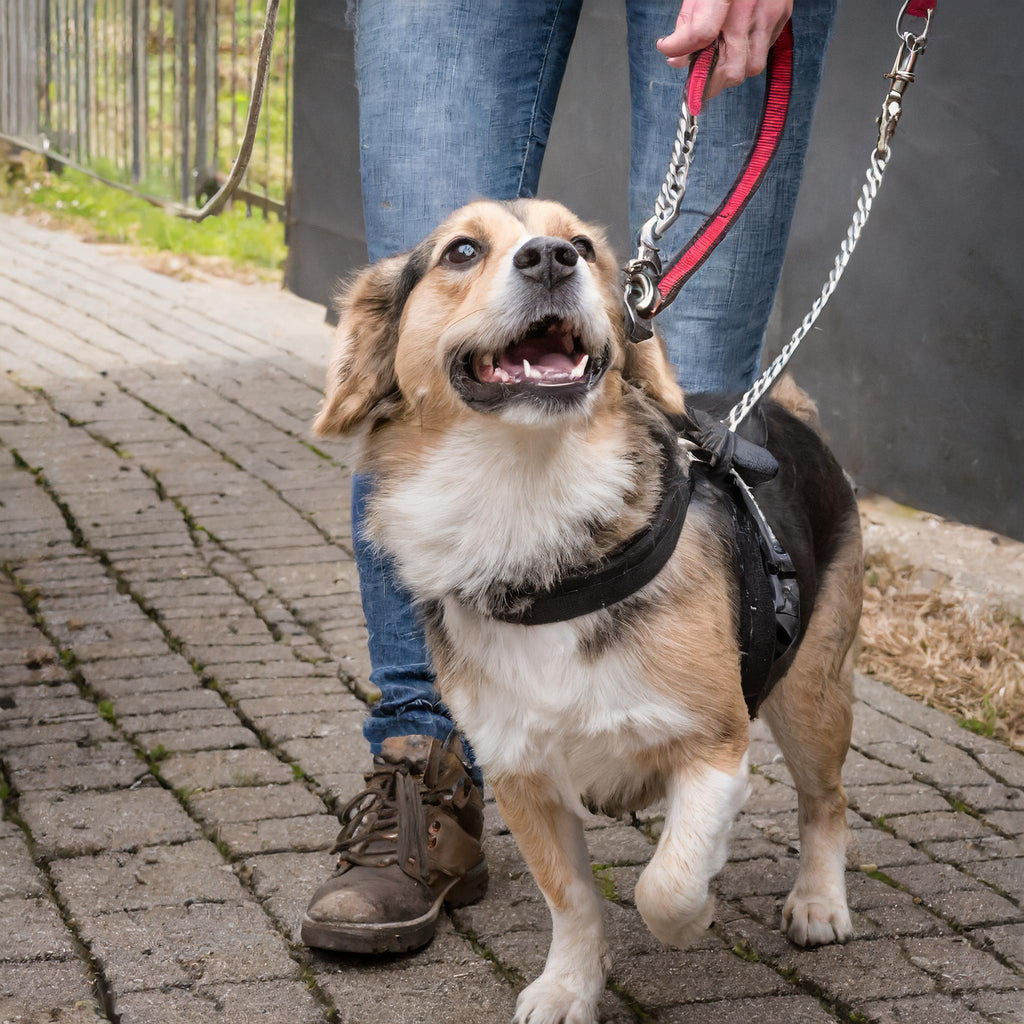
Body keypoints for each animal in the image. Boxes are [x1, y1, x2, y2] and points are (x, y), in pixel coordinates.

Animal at [309, 199, 856, 1024]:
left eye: (585, 248)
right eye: (461, 251)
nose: (550, 259)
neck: (529, 509)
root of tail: (783, 415)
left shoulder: (715, 744)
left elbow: (665, 885)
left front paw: (695, 915)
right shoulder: (520, 772)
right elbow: (571, 899)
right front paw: (571, 985)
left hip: (811, 697)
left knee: (825, 802)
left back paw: (820, 901)